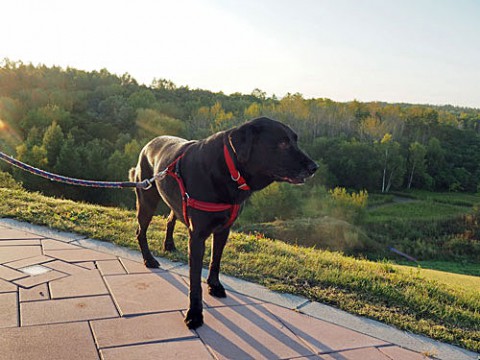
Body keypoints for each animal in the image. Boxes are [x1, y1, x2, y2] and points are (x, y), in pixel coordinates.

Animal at [130, 116, 318, 328]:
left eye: (295, 140)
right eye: (283, 143)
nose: (314, 167)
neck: (230, 170)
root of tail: (149, 143)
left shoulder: (224, 229)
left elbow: (215, 260)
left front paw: (214, 285)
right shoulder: (197, 237)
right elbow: (195, 280)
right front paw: (195, 313)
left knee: (171, 219)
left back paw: (169, 245)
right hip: (147, 200)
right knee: (140, 231)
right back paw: (149, 259)